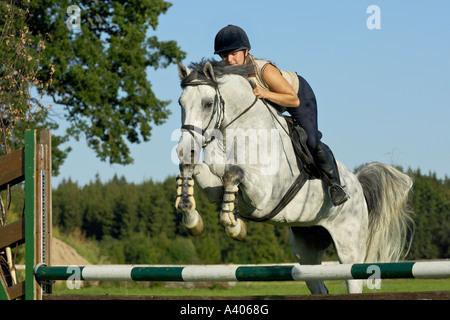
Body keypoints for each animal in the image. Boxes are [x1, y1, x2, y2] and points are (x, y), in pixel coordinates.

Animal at [174, 58, 414, 294]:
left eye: (207, 104)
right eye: (180, 103)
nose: (185, 149)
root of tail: (358, 187)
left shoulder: (263, 196)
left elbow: (234, 173)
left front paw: (234, 226)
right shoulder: (215, 187)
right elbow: (197, 170)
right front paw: (191, 218)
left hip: (349, 247)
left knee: (352, 279)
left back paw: (338, 193)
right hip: (306, 249)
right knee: (318, 285)